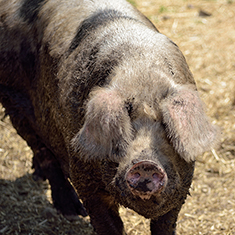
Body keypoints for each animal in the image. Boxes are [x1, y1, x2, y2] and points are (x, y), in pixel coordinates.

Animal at [0, 0, 218, 234]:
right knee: (43, 152)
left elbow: (165, 224)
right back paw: (72, 213)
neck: (141, 75)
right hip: (13, 100)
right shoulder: (84, 175)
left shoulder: (181, 186)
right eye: (123, 123)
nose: (146, 164)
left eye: (166, 126)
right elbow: (106, 222)